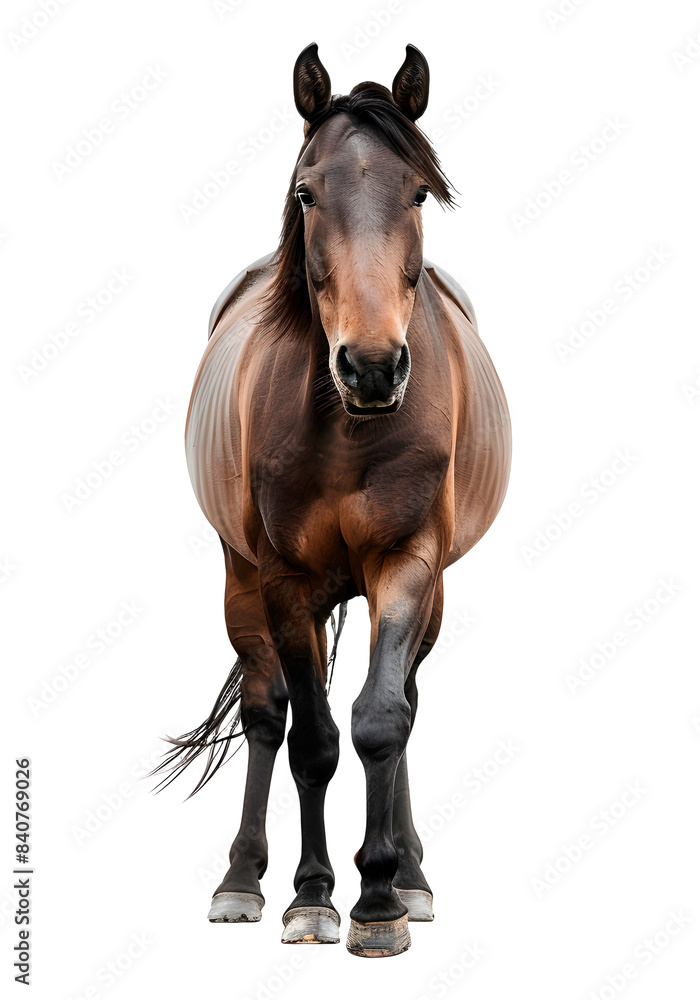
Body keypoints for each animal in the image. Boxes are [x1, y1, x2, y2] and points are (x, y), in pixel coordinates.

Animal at [153, 42, 511, 958]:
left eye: (417, 191)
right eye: (307, 193)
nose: (373, 366)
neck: (350, 431)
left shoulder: (408, 564)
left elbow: (382, 717)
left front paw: (381, 898)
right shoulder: (284, 582)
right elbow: (311, 739)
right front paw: (313, 895)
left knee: (405, 705)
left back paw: (411, 875)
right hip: (246, 584)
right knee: (266, 714)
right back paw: (245, 879)